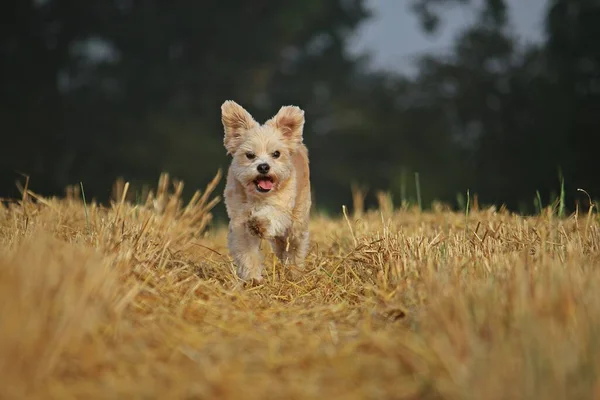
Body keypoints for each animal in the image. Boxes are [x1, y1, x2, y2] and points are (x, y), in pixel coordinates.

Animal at [221, 100, 314, 282]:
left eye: (276, 154)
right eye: (250, 155)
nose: (263, 167)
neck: (259, 197)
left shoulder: (281, 209)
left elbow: (270, 216)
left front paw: (259, 223)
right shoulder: (240, 221)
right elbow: (247, 253)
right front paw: (252, 278)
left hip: (297, 220)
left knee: (295, 245)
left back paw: (295, 271)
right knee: (281, 246)